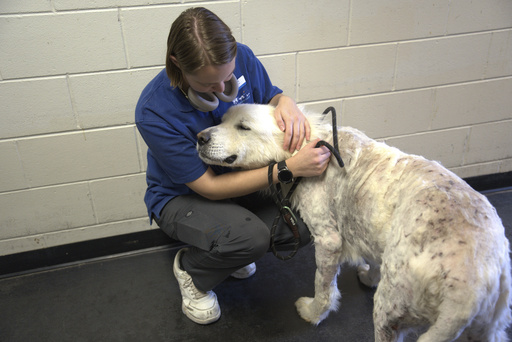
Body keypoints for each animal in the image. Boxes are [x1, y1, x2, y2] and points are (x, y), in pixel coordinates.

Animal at [196, 104, 512, 342]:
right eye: (222, 120)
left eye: (243, 127)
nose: (200, 137)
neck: (306, 145)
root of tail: (471, 293)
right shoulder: (372, 229)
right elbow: (373, 257)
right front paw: (369, 276)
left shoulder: (328, 240)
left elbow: (323, 287)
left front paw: (313, 312)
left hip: (388, 311)